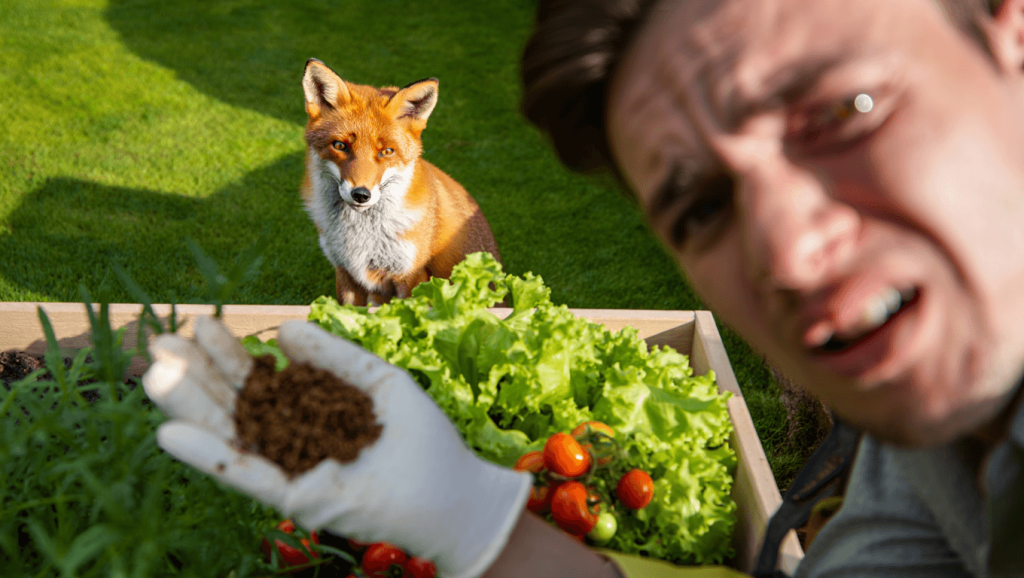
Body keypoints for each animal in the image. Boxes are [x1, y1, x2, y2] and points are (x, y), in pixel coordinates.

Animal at [300, 58, 501, 306]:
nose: (361, 194)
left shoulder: (411, 274)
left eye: (387, 151)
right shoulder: (346, 273)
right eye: (339, 146)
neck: (361, 237)